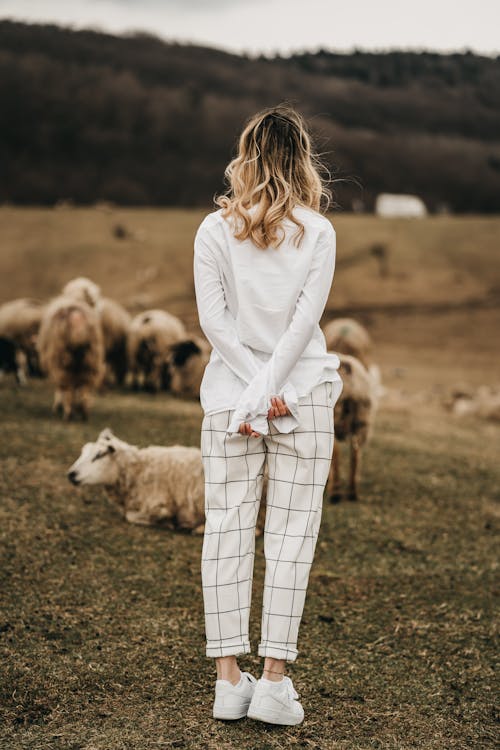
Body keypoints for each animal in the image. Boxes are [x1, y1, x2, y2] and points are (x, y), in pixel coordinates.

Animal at [36, 296, 105, 424]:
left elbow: (60, 390)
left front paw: (58, 406)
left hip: (62, 363)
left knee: (67, 390)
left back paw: (68, 413)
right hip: (90, 362)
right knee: (84, 390)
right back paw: (84, 413)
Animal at [68, 428, 268, 536]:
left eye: (99, 455)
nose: (70, 474)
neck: (138, 470)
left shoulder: (159, 503)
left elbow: (131, 516)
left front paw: (167, 522)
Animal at [326, 354, 376, 506]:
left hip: (334, 416)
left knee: (335, 452)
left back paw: (335, 493)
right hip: (361, 421)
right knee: (355, 453)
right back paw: (352, 493)